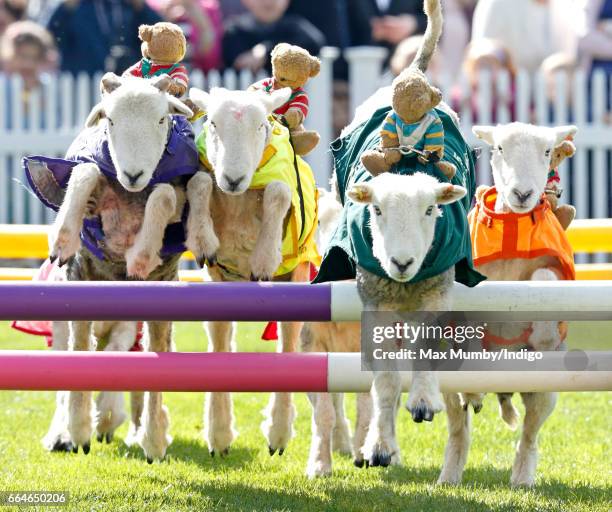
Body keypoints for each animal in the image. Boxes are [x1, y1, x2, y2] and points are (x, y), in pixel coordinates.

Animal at [24, 72, 208, 460]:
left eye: (161, 119)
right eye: (109, 120)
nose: (134, 173)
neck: (131, 196)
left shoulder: (176, 200)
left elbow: (163, 195)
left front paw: (141, 254)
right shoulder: (96, 210)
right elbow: (86, 171)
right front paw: (63, 239)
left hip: (138, 317)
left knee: (136, 361)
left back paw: (144, 435)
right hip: (65, 317)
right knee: (74, 359)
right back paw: (68, 432)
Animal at [186, 86, 320, 458]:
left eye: (261, 125)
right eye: (212, 123)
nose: (232, 178)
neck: (238, 201)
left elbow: (279, 190)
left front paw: (263, 258)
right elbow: (199, 180)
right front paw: (203, 239)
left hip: (298, 279)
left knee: (288, 346)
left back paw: (278, 433)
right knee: (221, 342)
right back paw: (219, 435)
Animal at [438, 121, 576, 488]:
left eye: (548, 151)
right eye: (499, 148)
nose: (523, 194)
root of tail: (505, 388)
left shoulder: (554, 268)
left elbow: (544, 280)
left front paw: (543, 335)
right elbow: (467, 317)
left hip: (547, 392)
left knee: (529, 435)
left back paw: (522, 478)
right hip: (443, 380)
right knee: (459, 428)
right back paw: (449, 474)